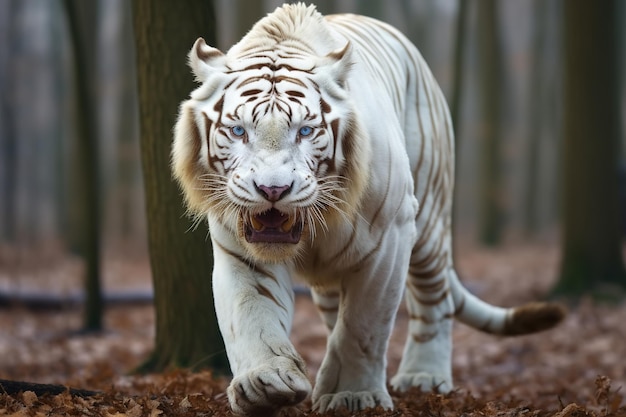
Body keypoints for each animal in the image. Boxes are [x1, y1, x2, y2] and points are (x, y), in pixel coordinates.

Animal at [169, 2, 560, 412]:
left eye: (305, 131)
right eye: (239, 131)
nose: (272, 189)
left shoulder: (390, 237)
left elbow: (363, 325)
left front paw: (352, 395)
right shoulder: (238, 246)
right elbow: (252, 313)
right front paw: (266, 384)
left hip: (429, 218)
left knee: (434, 301)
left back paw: (424, 377)